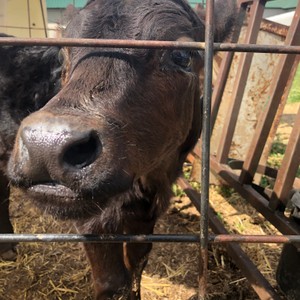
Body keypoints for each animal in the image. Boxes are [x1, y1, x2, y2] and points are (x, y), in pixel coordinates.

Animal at [7, 1, 237, 298]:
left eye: (182, 55)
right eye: (63, 52)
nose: (45, 143)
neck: (147, 182)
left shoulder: (149, 209)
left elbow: (138, 260)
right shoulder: (93, 221)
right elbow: (112, 282)